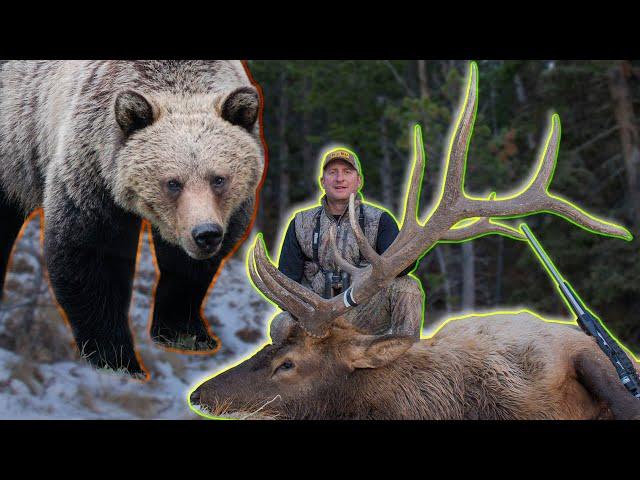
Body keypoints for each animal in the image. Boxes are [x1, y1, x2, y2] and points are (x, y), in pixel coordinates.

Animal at [0, 60, 264, 376]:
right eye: (173, 182)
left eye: (219, 179)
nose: (205, 234)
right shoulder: (93, 173)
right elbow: (91, 256)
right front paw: (119, 359)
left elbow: (187, 271)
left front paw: (188, 333)